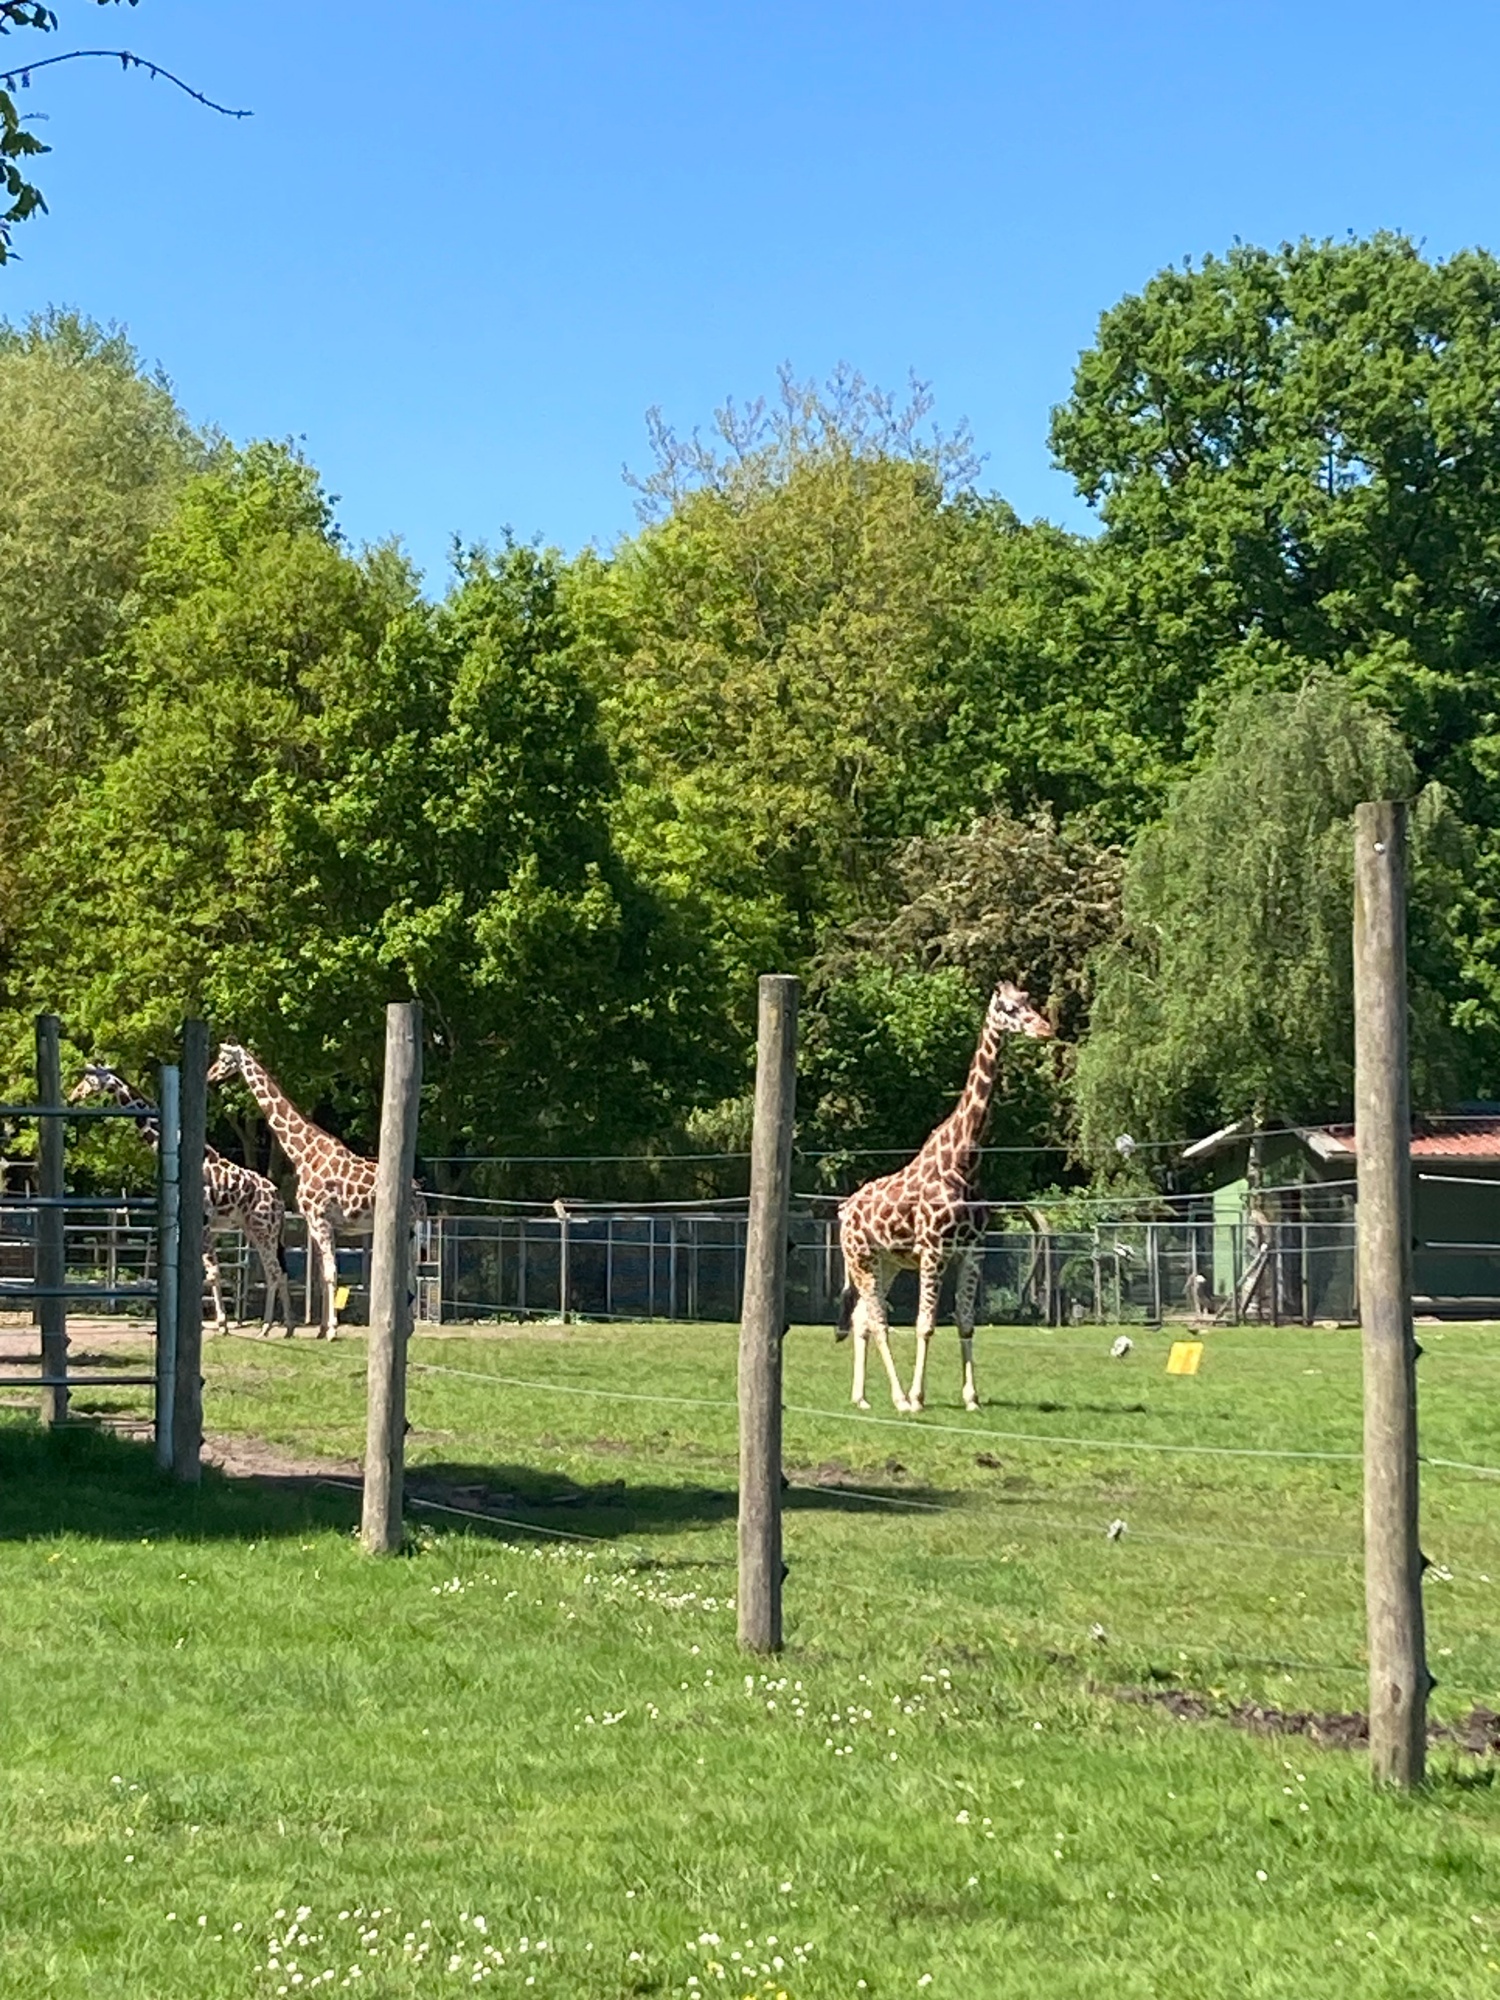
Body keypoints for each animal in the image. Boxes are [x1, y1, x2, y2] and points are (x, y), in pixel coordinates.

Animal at [69, 1072, 296, 1336]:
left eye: (89, 1079)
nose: (74, 1095)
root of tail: (280, 1200)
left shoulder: (204, 1223)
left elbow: (211, 1273)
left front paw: (220, 1324)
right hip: (255, 1230)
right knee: (277, 1272)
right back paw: (286, 1327)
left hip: (264, 1229)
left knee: (275, 1271)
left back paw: (269, 1327)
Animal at [201, 1048, 424, 1344]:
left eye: (225, 1059)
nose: (210, 1074)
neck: (303, 1152)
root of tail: (420, 1194)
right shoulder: (317, 1221)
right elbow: (320, 1275)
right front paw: (321, 1329)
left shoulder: (320, 1219)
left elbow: (330, 1273)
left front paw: (331, 1330)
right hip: (408, 1229)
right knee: (410, 1270)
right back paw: (407, 1328)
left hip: (405, 1225)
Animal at [836, 976, 1056, 1416]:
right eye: (1007, 1008)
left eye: (1028, 1000)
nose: (1045, 1028)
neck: (965, 1160)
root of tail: (844, 1210)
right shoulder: (933, 1249)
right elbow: (925, 1324)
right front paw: (919, 1397)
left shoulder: (972, 1250)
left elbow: (966, 1320)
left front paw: (971, 1398)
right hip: (861, 1257)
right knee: (878, 1320)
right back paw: (900, 1399)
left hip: (886, 1262)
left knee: (861, 1318)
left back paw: (862, 1397)